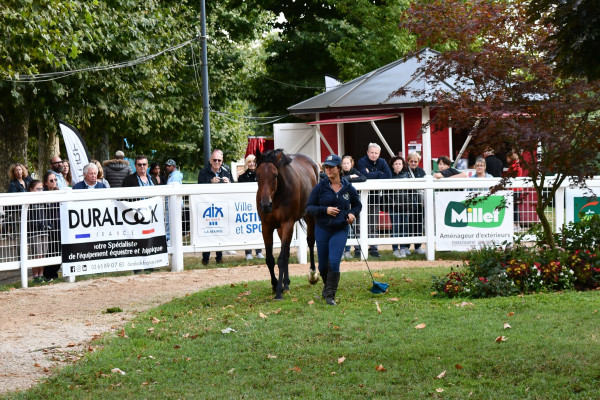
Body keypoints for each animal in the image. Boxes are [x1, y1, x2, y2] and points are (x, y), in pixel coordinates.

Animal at [254, 148, 322, 298]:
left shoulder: (287, 224)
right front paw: (275, 284)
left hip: (309, 216)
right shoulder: (266, 227)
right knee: (288, 250)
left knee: (310, 241)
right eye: (257, 175)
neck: (277, 196)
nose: (265, 205)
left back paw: (312, 275)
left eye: (275, 175)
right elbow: (270, 259)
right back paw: (286, 283)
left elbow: (281, 258)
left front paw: (279, 291)